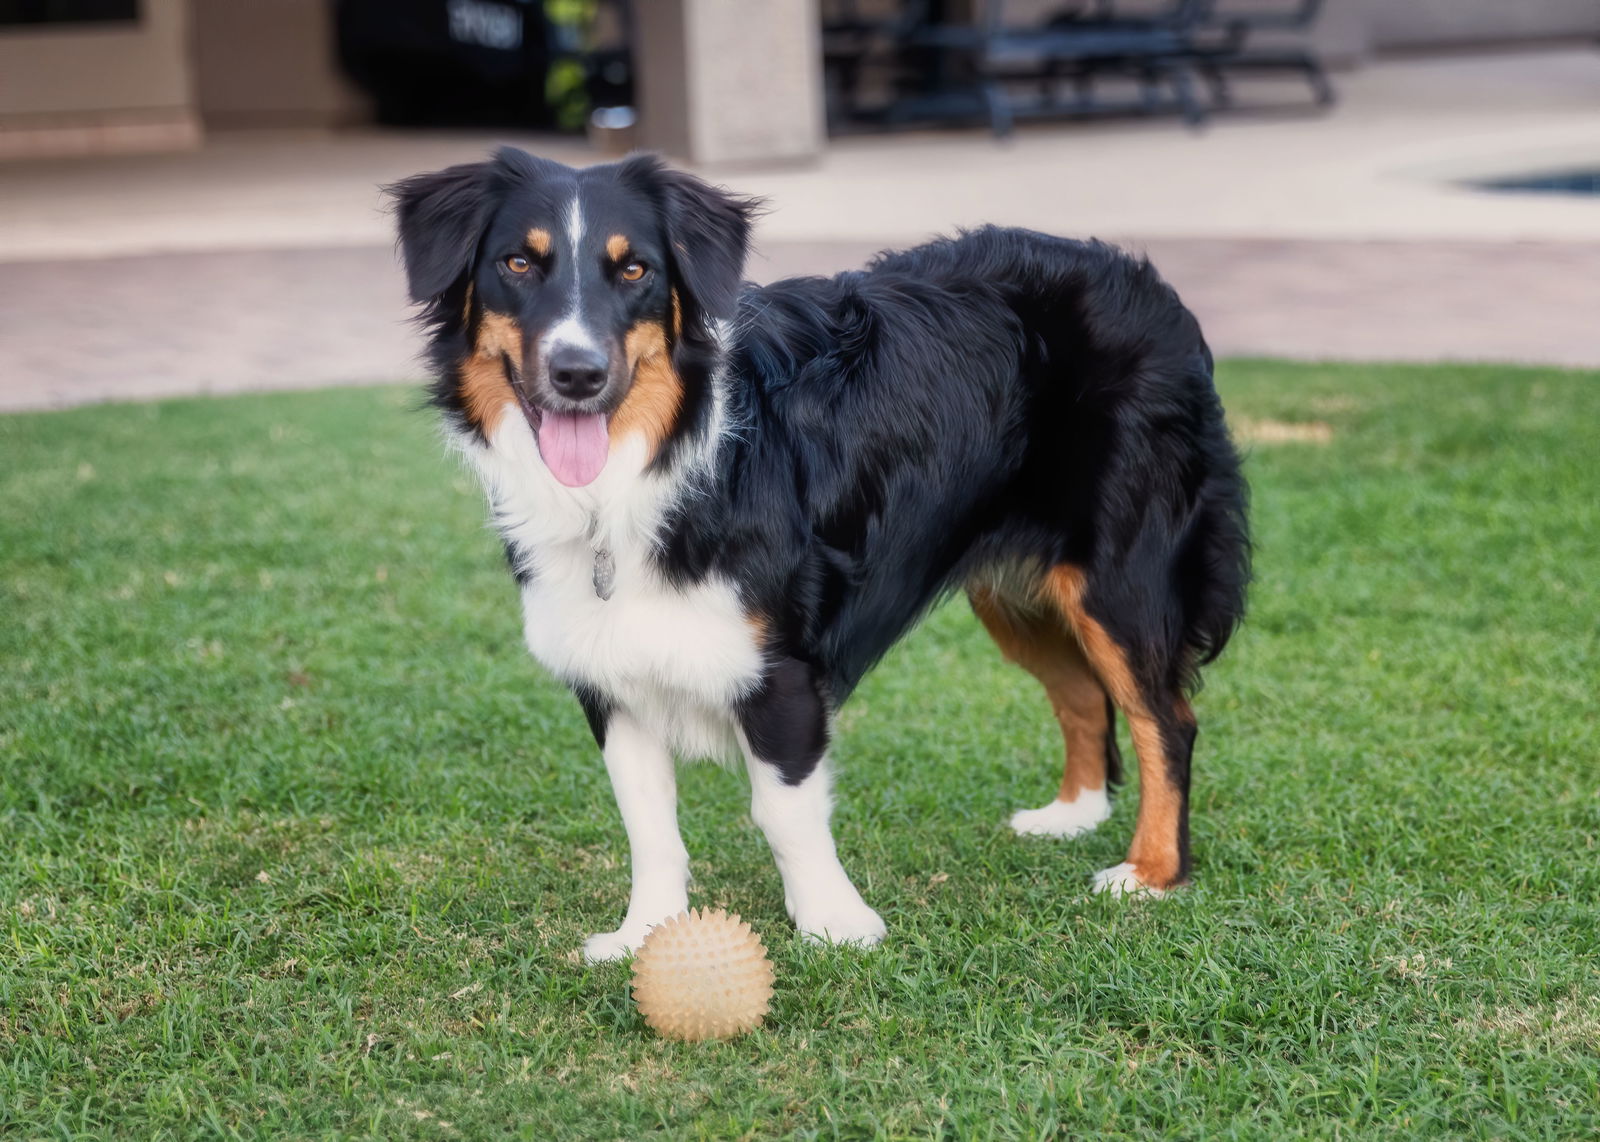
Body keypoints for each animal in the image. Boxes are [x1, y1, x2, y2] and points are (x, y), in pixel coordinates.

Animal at [387, 144, 1248, 959]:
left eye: (634, 269)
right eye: (517, 264)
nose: (577, 374)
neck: (643, 473)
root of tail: (1146, 280)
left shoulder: (781, 671)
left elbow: (782, 809)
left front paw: (835, 925)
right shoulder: (610, 674)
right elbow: (648, 820)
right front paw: (646, 932)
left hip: (1117, 579)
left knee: (1165, 718)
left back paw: (1149, 872)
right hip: (1013, 586)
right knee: (1082, 692)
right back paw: (1074, 815)